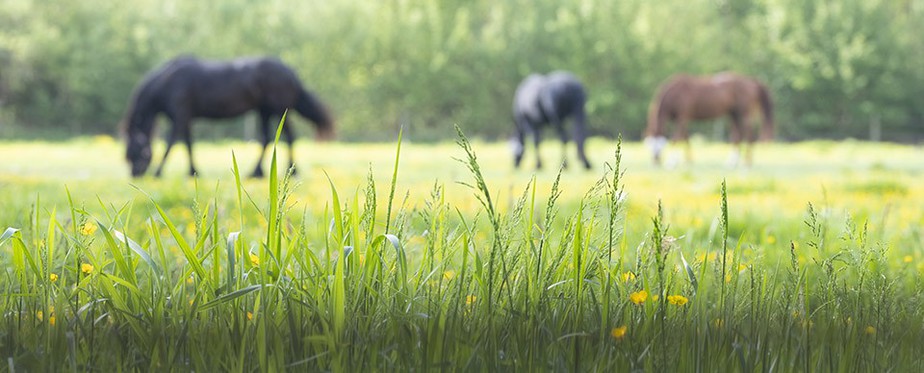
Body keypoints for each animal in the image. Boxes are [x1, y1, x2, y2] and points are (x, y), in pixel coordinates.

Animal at [122, 55, 336, 177]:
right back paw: (256, 172)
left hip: (278, 110)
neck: (168, 82)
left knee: (289, 136)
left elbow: (171, 144)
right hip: (264, 111)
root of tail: (290, 71)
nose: (135, 174)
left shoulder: (180, 116)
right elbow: (189, 145)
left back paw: (292, 170)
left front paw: (158, 172)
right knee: (266, 139)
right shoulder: (187, 119)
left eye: (136, 152)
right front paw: (192, 171)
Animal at [648, 72, 776, 166]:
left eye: (659, 145)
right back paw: (732, 162)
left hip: (744, 114)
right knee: (737, 136)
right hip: (734, 114)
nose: (655, 161)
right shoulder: (681, 120)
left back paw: (747, 162)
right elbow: (686, 139)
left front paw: (671, 162)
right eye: (649, 144)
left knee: (749, 135)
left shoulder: (682, 117)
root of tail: (752, 81)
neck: (675, 93)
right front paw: (688, 161)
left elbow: (677, 139)